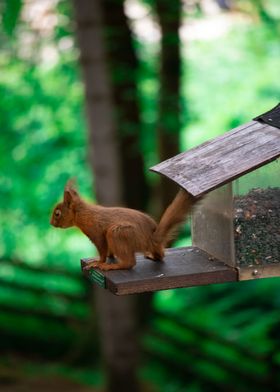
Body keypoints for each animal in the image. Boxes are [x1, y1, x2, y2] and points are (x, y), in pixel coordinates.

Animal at [50, 181, 197, 270]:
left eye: (57, 213)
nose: (51, 223)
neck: (83, 214)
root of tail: (151, 239)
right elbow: (109, 252)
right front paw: (105, 258)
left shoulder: (97, 234)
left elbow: (102, 250)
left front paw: (98, 262)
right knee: (160, 256)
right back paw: (152, 256)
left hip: (117, 233)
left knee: (130, 263)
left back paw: (112, 267)